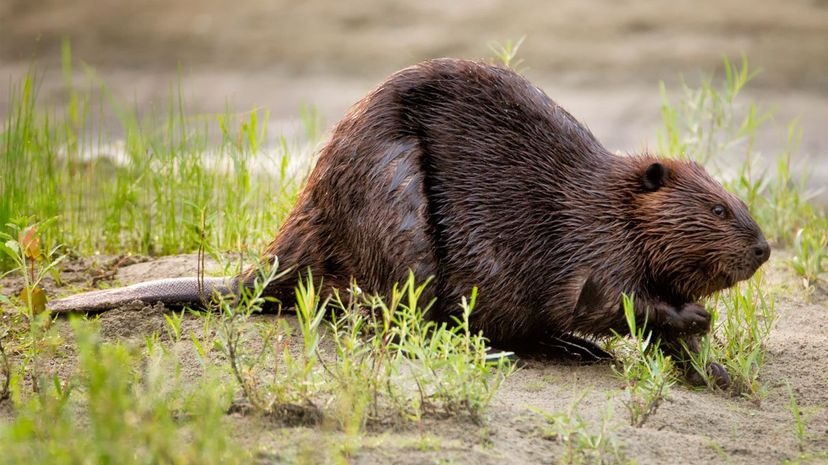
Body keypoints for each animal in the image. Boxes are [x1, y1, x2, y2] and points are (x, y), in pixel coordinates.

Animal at [47, 58, 768, 384]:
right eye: (718, 208)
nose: (763, 248)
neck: (612, 202)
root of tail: (267, 270)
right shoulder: (590, 239)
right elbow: (607, 298)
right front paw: (694, 317)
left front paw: (716, 369)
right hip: (394, 198)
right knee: (407, 317)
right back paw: (506, 348)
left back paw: (572, 348)